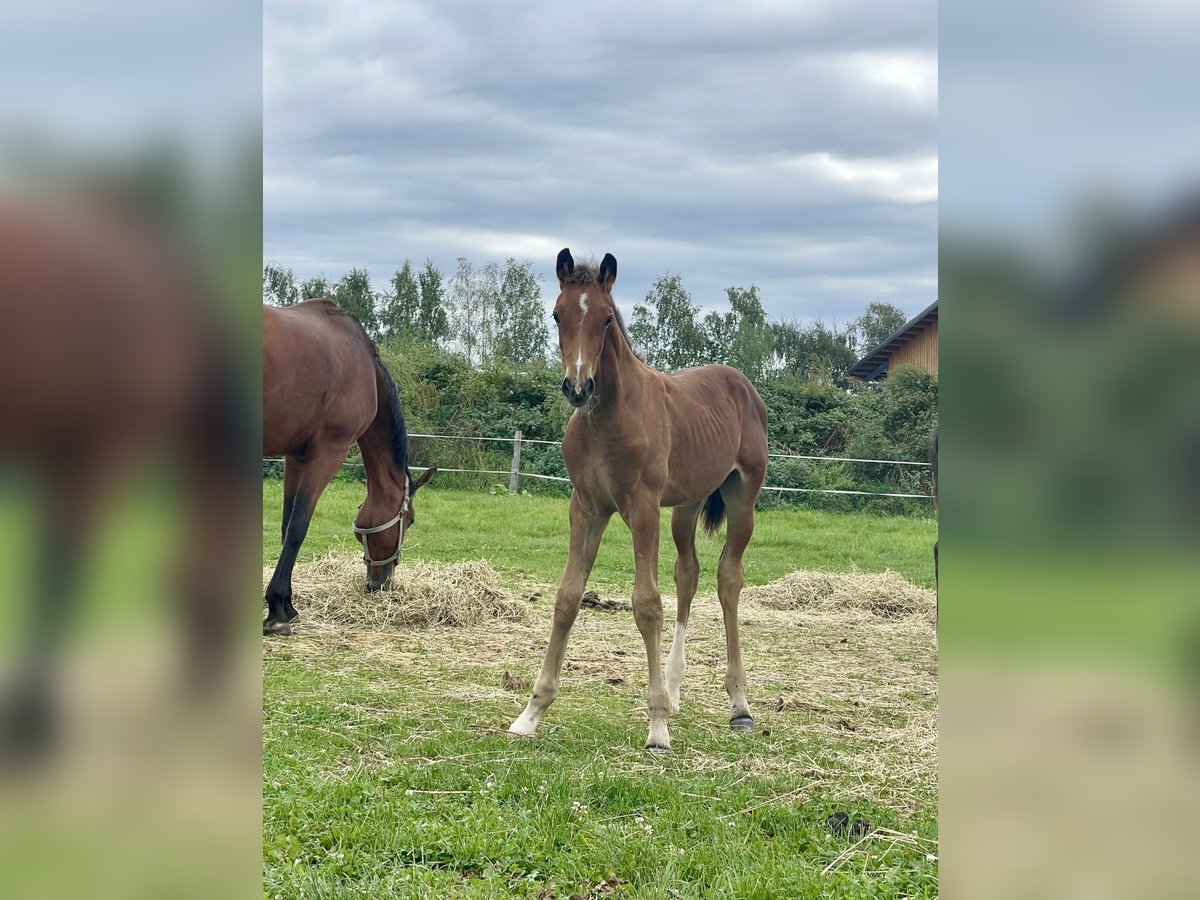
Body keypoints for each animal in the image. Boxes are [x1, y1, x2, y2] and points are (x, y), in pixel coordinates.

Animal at [260, 300, 439, 638]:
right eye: (410, 521)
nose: (381, 583)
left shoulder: (296, 456)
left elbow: (285, 525)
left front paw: (286, 604)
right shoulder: (329, 450)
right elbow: (298, 527)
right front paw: (277, 609)